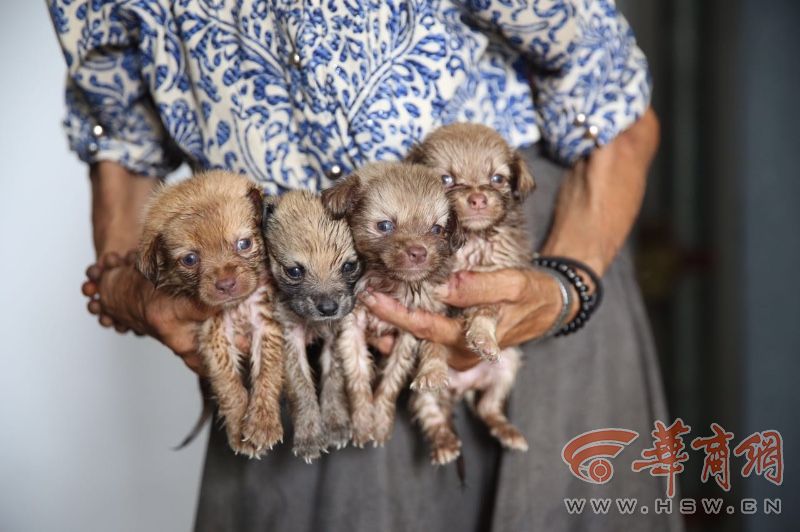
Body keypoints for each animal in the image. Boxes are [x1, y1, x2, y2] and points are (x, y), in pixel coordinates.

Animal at [138, 170, 284, 458]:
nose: (226, 283)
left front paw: (263, 423)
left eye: (244, 243)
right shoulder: (213, 334)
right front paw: (239, 429)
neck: (237, 306)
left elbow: (268, 373)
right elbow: (228, 385)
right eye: (190, 259)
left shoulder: (267, 323)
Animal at [260, 191, 360, 462]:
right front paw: (309, 435)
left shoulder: (336, 334)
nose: (328, 308)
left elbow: (334, 379)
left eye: (349, 266)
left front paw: (336, 423)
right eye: (294, 271)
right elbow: (301, 387)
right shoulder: (289, 337)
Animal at [322, 163, 466, 458]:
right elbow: (357, 377)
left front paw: (380, 421)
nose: (419, 252)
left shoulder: (407, 334)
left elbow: (391, 383)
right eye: (385, 226)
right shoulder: (351, 327)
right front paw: (363, 421)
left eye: (437, 229)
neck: (391, 283)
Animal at [410, 122, 536, 456]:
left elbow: (484, 311)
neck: (470, 239)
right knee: (431, 412)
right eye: (446, 179)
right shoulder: (429, 299)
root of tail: (462, 388)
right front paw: (432, 368)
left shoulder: (494, 282)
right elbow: (431, 340)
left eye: (497, 179)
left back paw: (508, 432)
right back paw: (443, 442)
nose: (478, 197)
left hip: (507, 366)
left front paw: (482, 337)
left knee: (487, 408)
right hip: (420, 394)